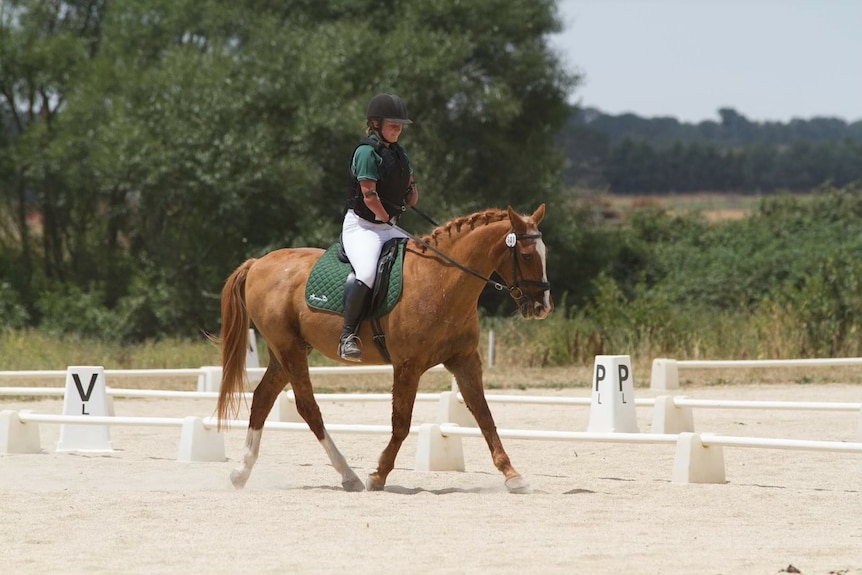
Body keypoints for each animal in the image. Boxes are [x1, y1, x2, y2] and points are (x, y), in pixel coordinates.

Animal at [216, 206, 552, 496]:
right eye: (525, 255)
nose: (542, 307)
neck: (441, 281)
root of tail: (258, 263)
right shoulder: (408, 365)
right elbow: (401, 424)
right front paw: (378, 475)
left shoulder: (464, 361)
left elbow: (484, 416)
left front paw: (513, 475)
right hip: (290, 350)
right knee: (308, 408)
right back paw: (348, 476)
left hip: (283, 353)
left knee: (262, 399)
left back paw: (241, 473)